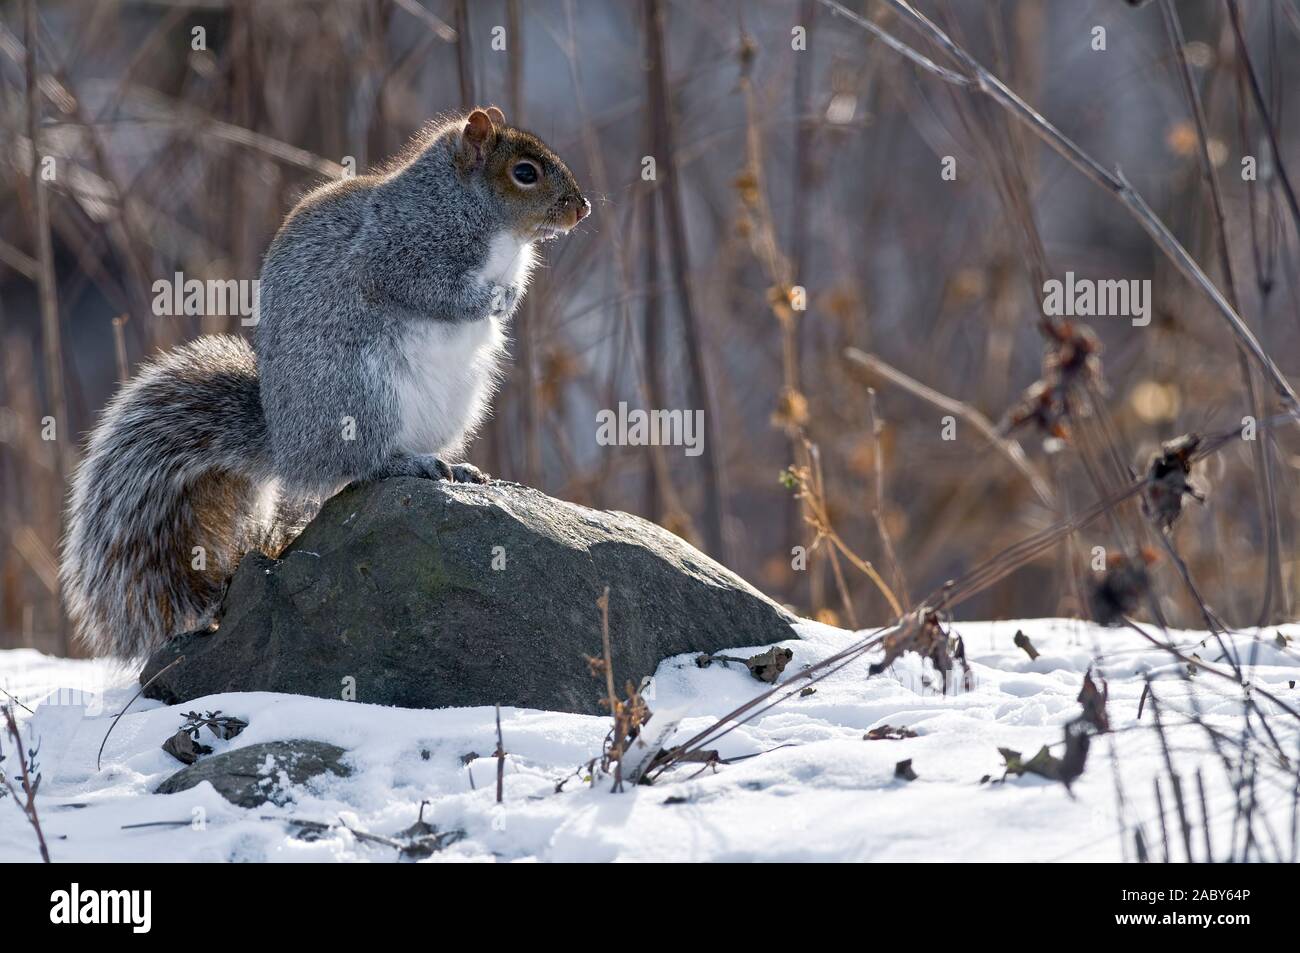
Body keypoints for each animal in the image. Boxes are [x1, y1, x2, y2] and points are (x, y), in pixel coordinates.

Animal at [61, 104, 590, 655]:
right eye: (525, 173)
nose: (583, 209)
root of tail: (289, 448)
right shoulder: (401, 250)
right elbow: (432, 290)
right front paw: (489, 301)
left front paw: (509, 298)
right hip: (364, 396)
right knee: (359, 468)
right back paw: (407, 463)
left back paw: (453, 467)